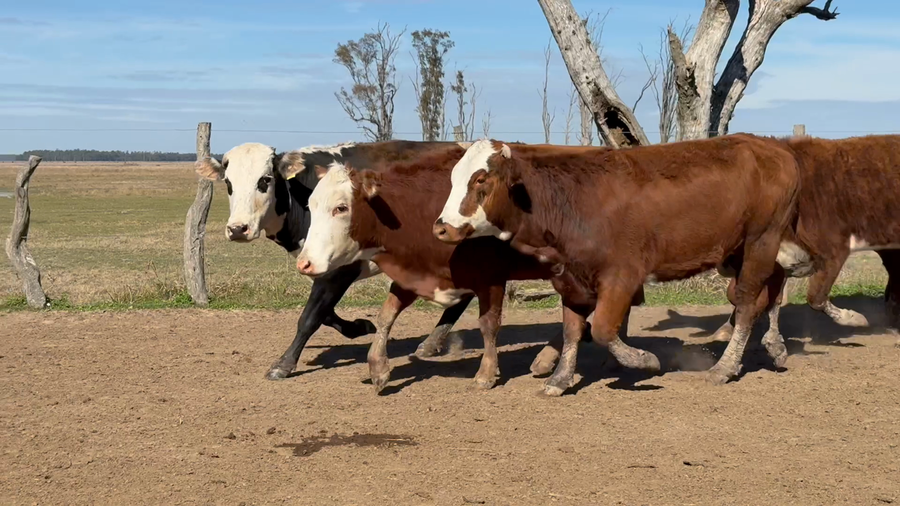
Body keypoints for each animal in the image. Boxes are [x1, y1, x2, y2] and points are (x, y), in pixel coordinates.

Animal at [194, 140, 475, 381]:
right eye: (228, 183)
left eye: (265, 180)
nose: (237, 229)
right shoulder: (317, 266)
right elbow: (325, 313)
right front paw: (359, 326)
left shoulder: (339, 270)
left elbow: (310, 316)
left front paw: (283, 364)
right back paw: (432, 342)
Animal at [293, 144, 641, 393]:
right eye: (310, 206)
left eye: (341, 208)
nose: (304, 262)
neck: (422, 210)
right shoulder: (413, 273)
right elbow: (386, 315)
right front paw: (378, 367)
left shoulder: (491, 278)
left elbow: (489, 325)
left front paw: (486, 372)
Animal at [433, 135, 801, 396]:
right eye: (453, 177)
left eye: (481, 179)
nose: (441, 227)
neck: (569, 200)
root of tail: (773, 148)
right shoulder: (570, 278)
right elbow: (571, 330)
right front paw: (560, 378)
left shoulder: (622, 277)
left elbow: (602, 329)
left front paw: (643, 360)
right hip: (740, 250)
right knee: (769, 289)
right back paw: (775, 346)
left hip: (761, 241)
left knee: (747, 301)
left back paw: (725, 366)